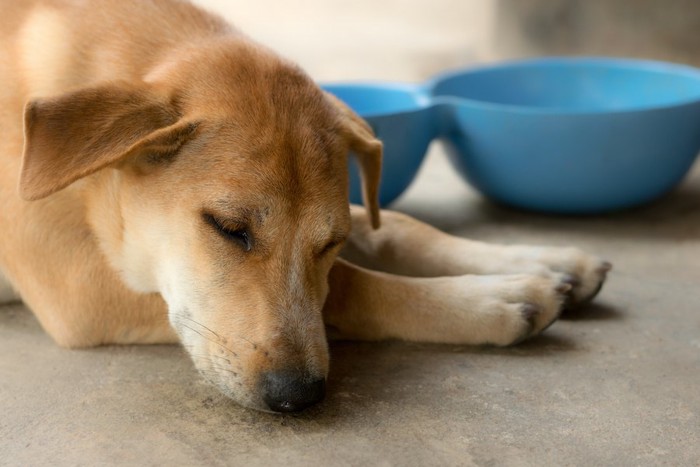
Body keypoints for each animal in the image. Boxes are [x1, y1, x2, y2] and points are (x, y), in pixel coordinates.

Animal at [0, 0, 612, 414]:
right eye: (227, 227)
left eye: (330, 242)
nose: (298, 396)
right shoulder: (78, 285)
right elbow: (351, 286)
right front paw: (497, 298)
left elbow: (395, 229)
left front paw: (546, 260)